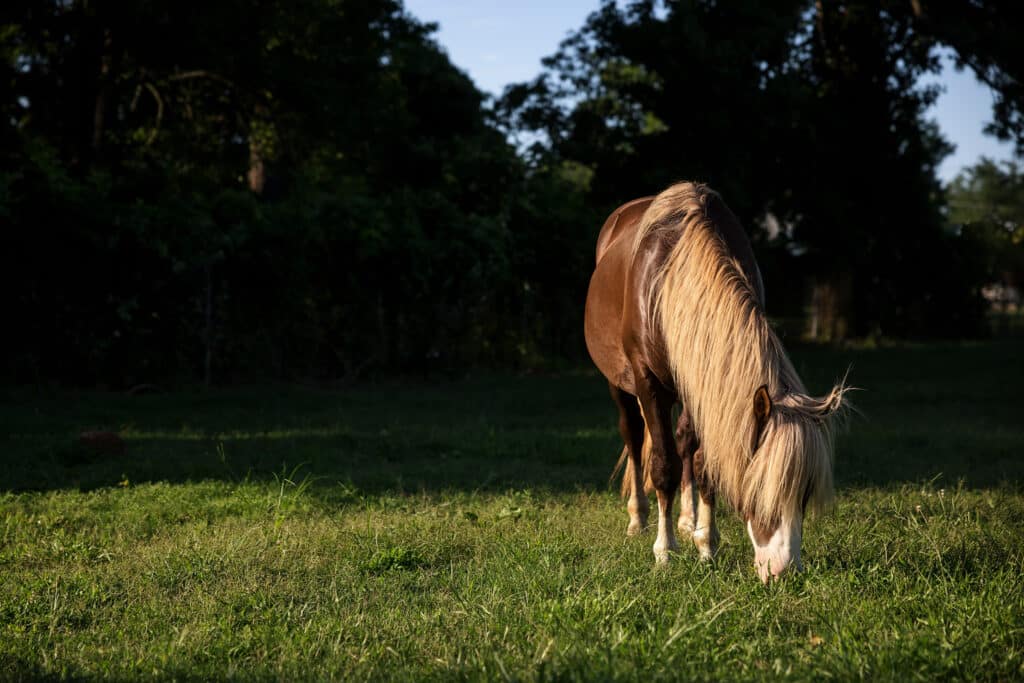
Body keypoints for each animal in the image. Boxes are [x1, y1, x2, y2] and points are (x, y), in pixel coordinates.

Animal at [585, 180, 847, 581]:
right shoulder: (649, 384)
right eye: (760, 490)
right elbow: (662, 466)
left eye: (804, 493)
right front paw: (665, 551)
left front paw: (706, 544)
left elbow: (705, 464)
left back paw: (687, 520)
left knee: (684, 442)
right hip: (621, 384)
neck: (670, 276)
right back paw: (639, 519)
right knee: (634, 437)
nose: (784, 571)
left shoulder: (706, 384)